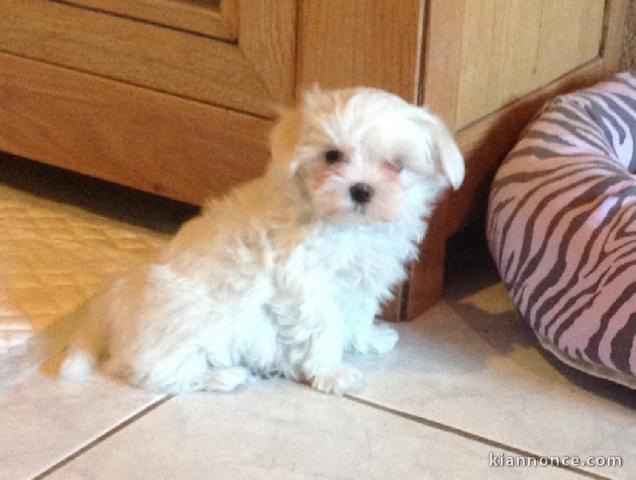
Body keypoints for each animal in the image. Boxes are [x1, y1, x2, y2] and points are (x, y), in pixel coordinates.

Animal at [4, 86, 464, 394]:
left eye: (396, 165)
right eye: (333, 156)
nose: (361, 190)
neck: (342, 225)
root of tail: (109, 310)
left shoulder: (360, 281)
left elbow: (355, 315)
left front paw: (368, 340)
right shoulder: (306, 284)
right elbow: (322, 328)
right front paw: (331, 372)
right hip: (184, 322)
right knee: (150, 371)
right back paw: (223, 375)